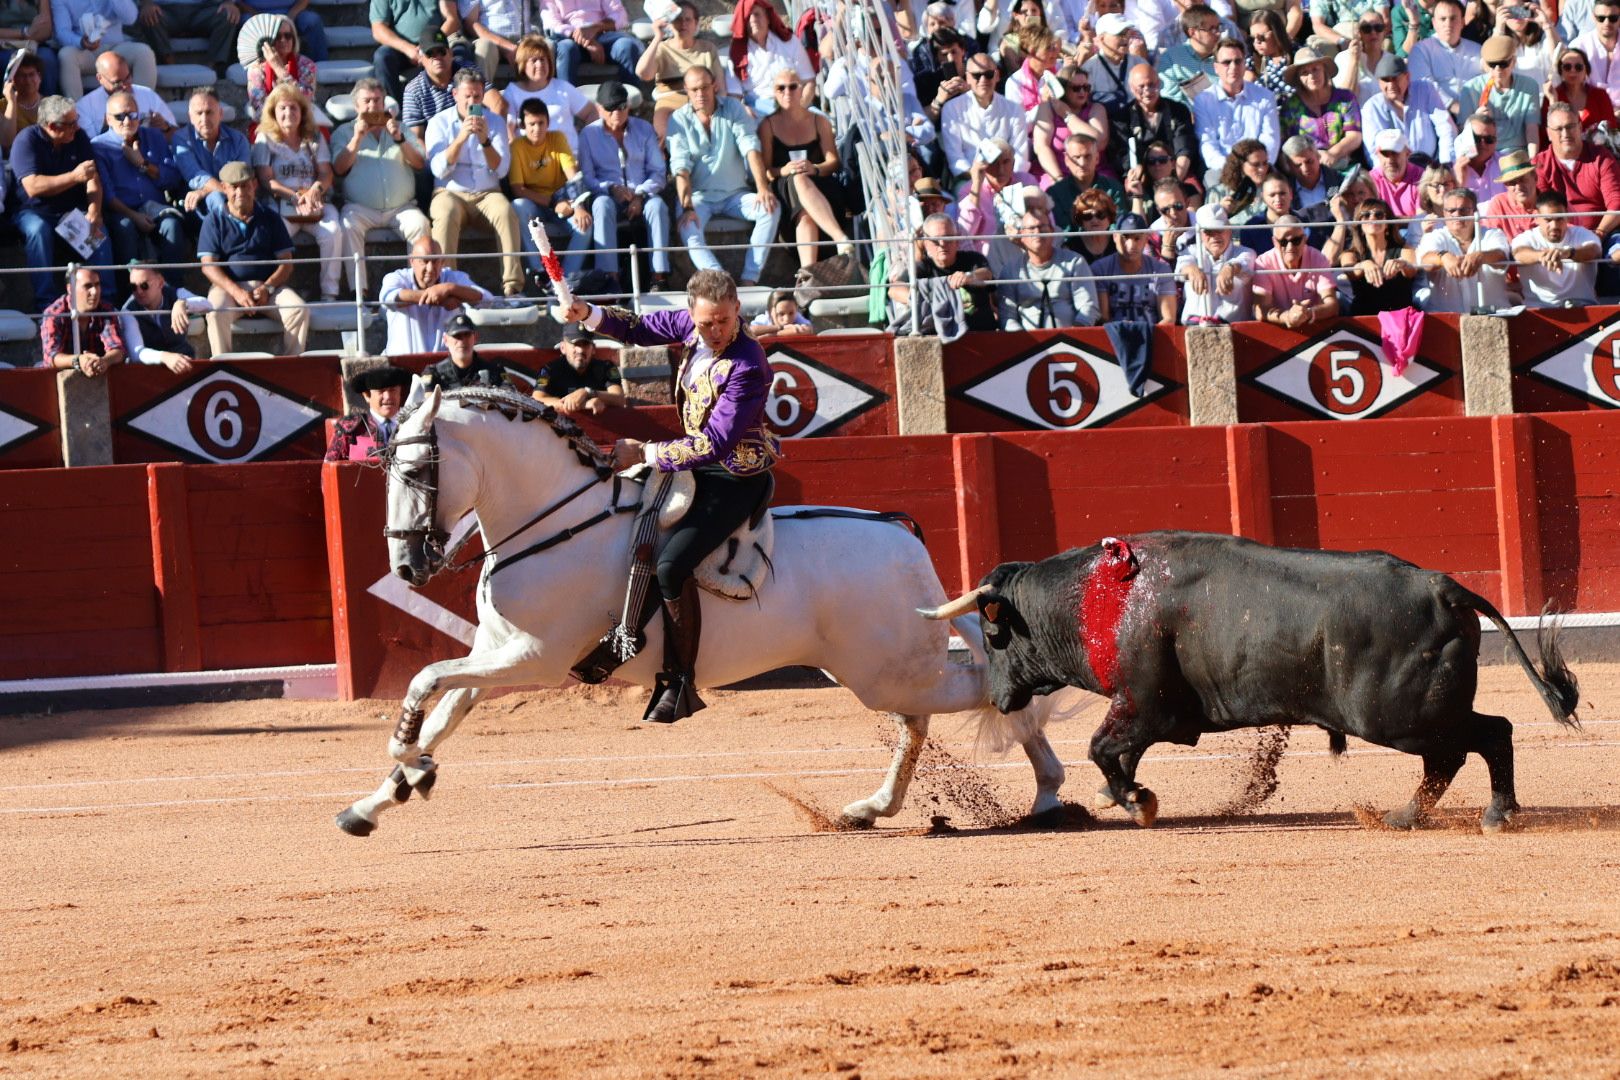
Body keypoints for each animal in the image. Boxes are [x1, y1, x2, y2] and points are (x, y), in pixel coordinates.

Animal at [335, 388, 1069, 835]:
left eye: (415, 473)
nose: (408, 568)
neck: (556, 520)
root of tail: (903, 533)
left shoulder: (532, 659)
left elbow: (423, 682)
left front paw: (406, 764)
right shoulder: (497, 655)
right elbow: (444, 712)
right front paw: (381, 798)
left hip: (888, 670)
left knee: (987, 691)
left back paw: (1051, 793)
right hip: (877, 669)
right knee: (921, 718)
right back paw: (873, 807)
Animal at [933, 534, 1574, 835]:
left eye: (993, 635)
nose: (998, 699)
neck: (1096, 600)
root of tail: (1444, 587)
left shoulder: (1143, 705)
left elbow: (1101, 748)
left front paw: (1137, 803)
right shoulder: (1138, 713)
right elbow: (1117, 755)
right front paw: (1128, 797)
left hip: (1397, 716)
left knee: (1483, 738)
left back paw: (1492, 814)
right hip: (1416, 716)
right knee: (1460, 751)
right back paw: (1406, 817)